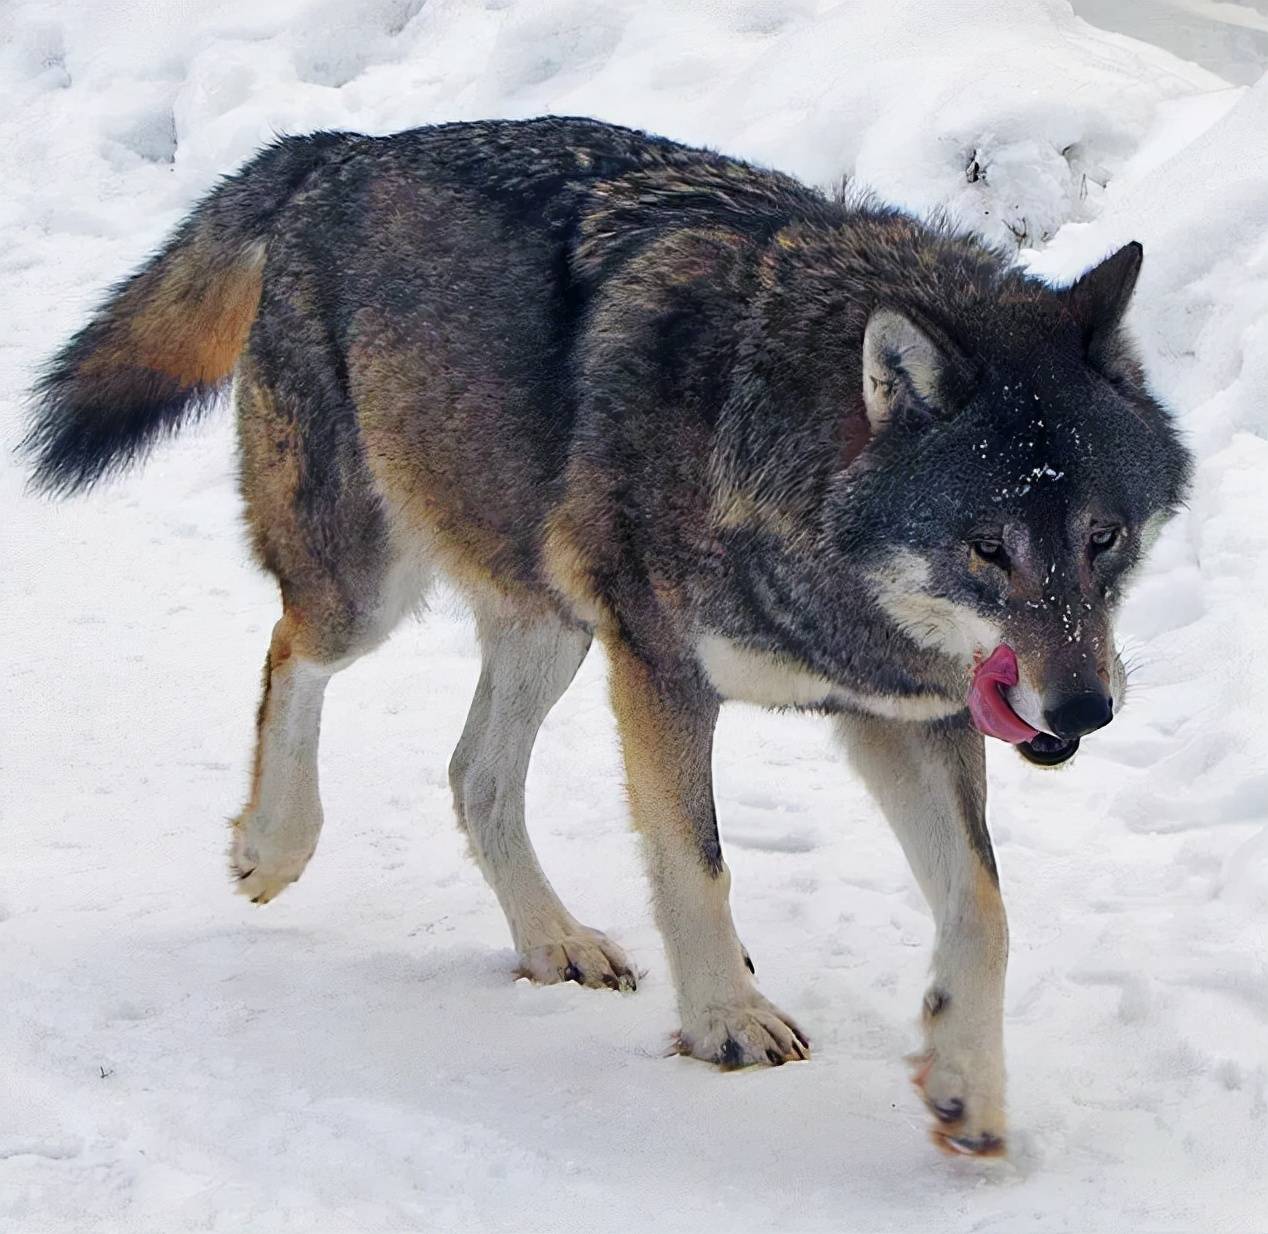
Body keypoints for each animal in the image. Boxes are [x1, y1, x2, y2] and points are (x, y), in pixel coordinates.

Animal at [19, 115, 1186, 1156]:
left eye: (1104, 536)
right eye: (989, 548)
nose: (1084, 710)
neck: (777, 455)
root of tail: (341, 147)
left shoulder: (906, 714)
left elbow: (983, 908)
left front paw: (965, 1087)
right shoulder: (660, 671)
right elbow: (695, 864)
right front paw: (727, 1021)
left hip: (549, 624)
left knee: (473, 774)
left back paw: (553, 940)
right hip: (374, 590)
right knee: (289, 652)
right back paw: (273, 845)